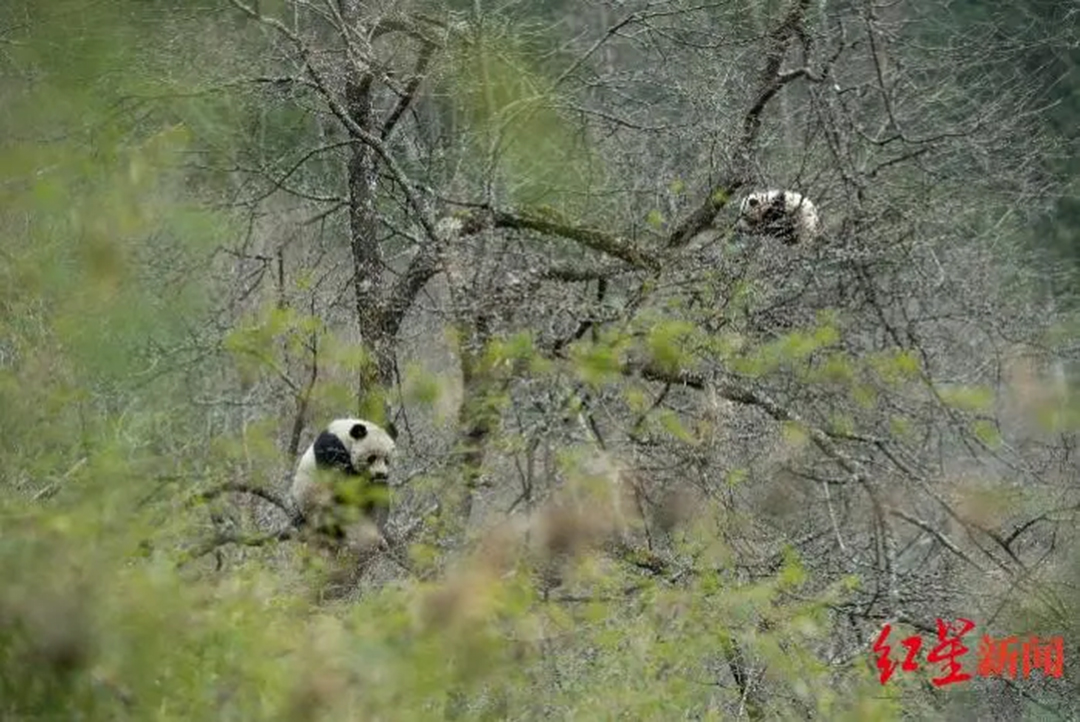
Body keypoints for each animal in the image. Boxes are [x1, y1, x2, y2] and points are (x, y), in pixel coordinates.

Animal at [289, 416, 399, 552]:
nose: (380, 474)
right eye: (371, 458)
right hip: (317, 505)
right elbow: (346, 488)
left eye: (386, 460)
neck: (345, 437)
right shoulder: (331, 450)